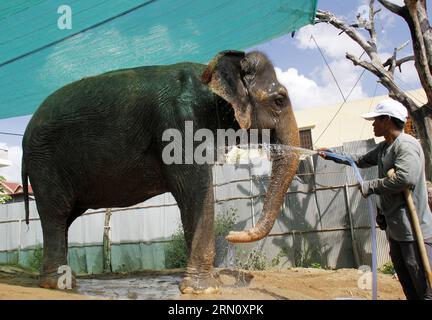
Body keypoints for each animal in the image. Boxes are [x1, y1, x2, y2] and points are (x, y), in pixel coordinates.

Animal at [22, 50, 298, 292]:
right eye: (279, 100)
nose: (232, 234)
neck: (210, 73)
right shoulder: (179, 124)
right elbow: (196, 191)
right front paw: (205, 289)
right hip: (44, 162)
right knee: (57, 213)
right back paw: (60, 285)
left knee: (65, 217)